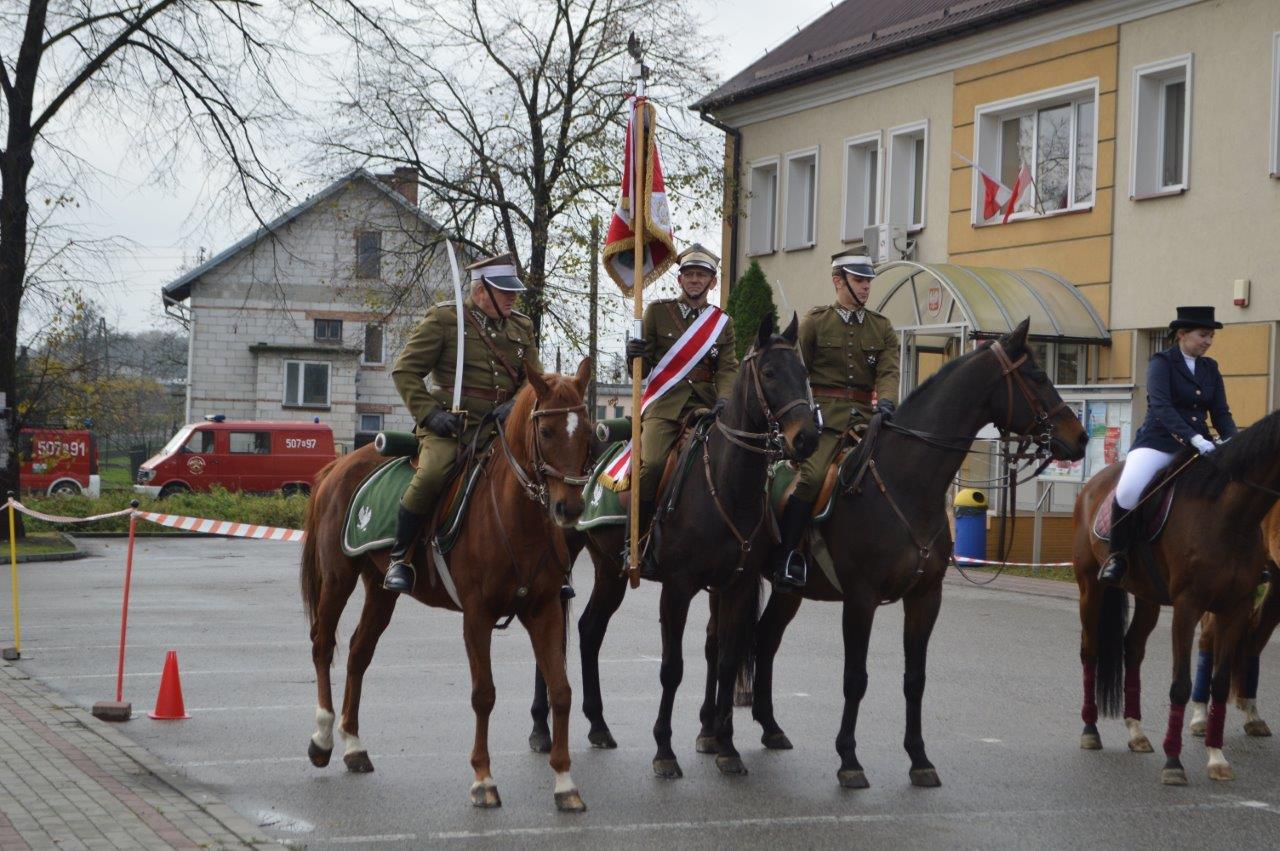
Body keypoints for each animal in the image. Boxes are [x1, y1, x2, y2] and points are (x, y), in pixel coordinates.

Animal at [300, 358, 593, 808]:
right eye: (545, 431)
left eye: (590, 432)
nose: (569, 508)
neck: (516, 517)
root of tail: (338, 466)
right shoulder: (477, 616)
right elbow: (484, 694)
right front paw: (483, 778)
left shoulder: (543, 609)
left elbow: (561, 690)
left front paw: (564, 782)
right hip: (337, 577)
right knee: (322, 645)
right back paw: (322, 738)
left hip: (380, 588)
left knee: (358, 652)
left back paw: (353, 746)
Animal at [529, 317, 819, 767]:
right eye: (770, 373)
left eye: (803, 373)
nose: (806, 438)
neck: (725, 484)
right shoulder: (678, 588)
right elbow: (672, 667)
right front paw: (664, 749)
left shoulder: (737, 585)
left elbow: (727, 658)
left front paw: (726, 746)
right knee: (553, 635)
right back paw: (542, 729)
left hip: (609, 570)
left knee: (589, 630)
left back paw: (598, 724)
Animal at [727, 319, 1085, 788]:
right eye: (1038, 375)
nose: (1080, 438)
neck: (908, 481)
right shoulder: (860, 599)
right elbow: (855, 678)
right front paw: (849, 758)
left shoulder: (925, 597)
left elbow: (915, 679)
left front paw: (919, 757)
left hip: (790, 593)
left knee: (765, 640)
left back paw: (770, 727)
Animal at [1070, 409, 1280, 788]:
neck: (1231, 515)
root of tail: (1094, 484)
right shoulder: (1187, 607)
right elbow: (1181, 684)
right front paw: (1174, 764)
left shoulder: (1236, 607)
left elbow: (1219, 683)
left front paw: (1216, 757)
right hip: (1090, 588)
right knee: (1090, 652)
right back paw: (1090, 730)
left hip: (1148, 597)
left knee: (1133, 649)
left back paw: (1136, 732)